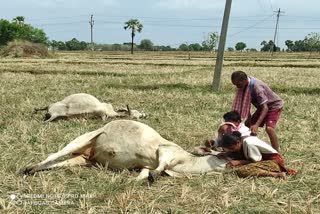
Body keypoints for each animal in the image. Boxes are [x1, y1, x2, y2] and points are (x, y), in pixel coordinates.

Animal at [22, 120, 228, 181]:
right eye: (222, 154)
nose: (229, 166)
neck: (186, 162)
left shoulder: (147, 166)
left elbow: (144, 174)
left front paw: (132, 181)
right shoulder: (166, 150)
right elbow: (160, 164)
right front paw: (154, 175)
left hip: (82, 159)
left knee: (62, 162)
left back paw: (32, 170)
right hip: (84, 138)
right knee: (54, 154)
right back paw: (28, 167)